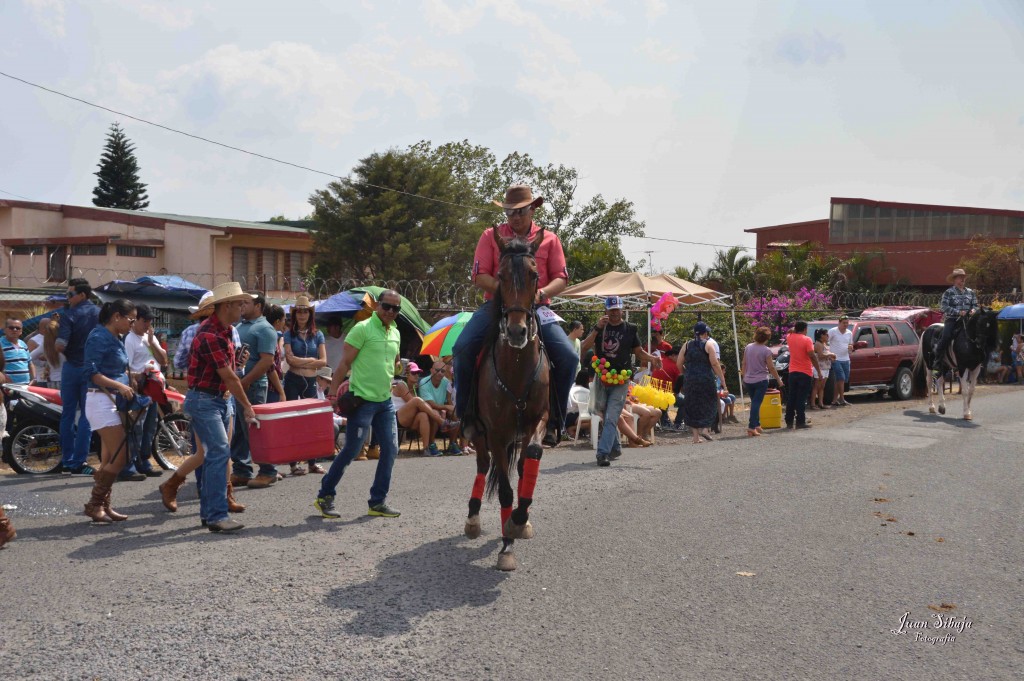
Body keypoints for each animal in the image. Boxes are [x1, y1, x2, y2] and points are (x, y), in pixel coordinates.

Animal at [466, 227, 552, 569]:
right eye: (500, 276)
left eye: (534, 274)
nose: (516, 332)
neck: (516, 366)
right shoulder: (497, 433)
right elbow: (503, 490)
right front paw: (506, 545)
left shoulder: (537, 420)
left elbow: (532, 459)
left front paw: (520, 519)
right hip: (478, 432)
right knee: (481, 464)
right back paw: (473, 519)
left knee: (521, 465)